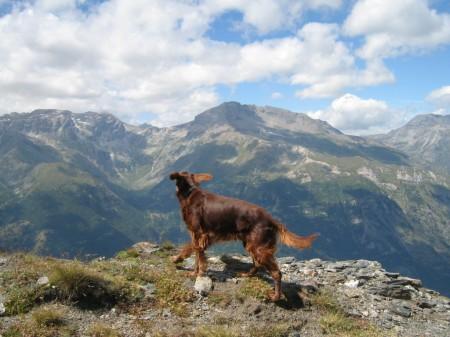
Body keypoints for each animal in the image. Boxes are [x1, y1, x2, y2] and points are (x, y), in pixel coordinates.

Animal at [169, 171, 320, 300]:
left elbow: (193, 254)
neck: (190, 192)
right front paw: (189, 268)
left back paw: (275, 297)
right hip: (251, 244)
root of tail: (271, 219)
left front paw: (190, 269)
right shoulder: (197, 237)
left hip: (258, 247)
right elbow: (195, 255)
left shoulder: (200, 235)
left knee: (276, 273)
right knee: (257, 264)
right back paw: (247, 275)